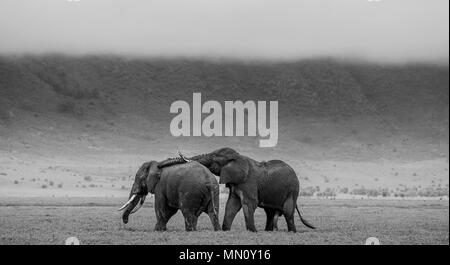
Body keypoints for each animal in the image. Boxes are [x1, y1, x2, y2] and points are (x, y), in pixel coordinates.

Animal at [178, 147, 314, 232]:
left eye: (213, 158)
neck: (239, 157)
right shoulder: (236, 183)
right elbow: (232, 205)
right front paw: (226, 230)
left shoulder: (248, 182)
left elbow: (249, 203)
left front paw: (253, 231)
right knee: (270, 212)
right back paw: (268, 231)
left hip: (293, 189)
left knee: (287, 211)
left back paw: (292, 232)